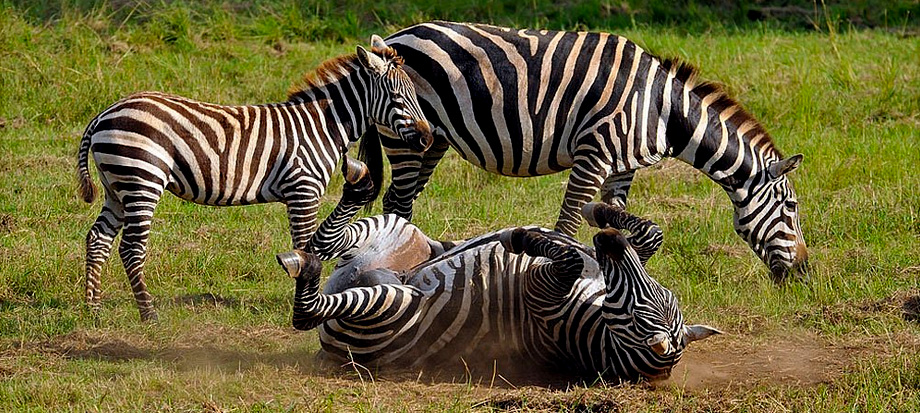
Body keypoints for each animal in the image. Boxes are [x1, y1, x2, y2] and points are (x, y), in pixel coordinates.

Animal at [76, 42, 433, 321]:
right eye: (398, 97)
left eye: (416, 95)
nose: (428, 139)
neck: (323, 125)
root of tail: (105, 112)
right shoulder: (303, 189)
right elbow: (307, 248)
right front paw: (306, 304)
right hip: (142, 180)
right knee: (130, 248)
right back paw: (148, 314)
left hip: (117, 187)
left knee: (98, 239)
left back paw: (93, 309)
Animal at [276, 157, 721, 382]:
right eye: (655, 294)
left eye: (633, 314)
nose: (608, 242)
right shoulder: (620, 259)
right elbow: (652, 233)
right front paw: (599, 212)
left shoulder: (541, 293)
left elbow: (568, 258)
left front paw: (522, 239)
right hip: (398, 233)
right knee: (327, 241)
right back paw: (356, 185)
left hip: (391, 304)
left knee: (307, 310)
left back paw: (301, 264)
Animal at [361, 22, 808, 282]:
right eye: (791, 208)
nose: (804, 273)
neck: (663, 111)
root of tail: (398, 35)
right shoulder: (592, 154)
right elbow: (566, 225)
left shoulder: (623, 168)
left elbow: (629, 227)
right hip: (403, 136)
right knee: (398, 201)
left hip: (431, 140)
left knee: (401, 198)